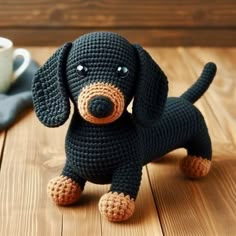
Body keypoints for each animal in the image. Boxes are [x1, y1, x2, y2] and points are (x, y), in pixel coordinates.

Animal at [32, 31, 217, 221]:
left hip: (199, 135)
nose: (100, 104)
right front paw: (62, 185)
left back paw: (197, 164)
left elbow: (125, 184)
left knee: (203, 147)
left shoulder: (129, 166)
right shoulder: (73, 163)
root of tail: (184, 100)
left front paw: (116, 202)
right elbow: (69, 174)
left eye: (123, 71)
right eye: (80, 70)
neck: (98, 131)